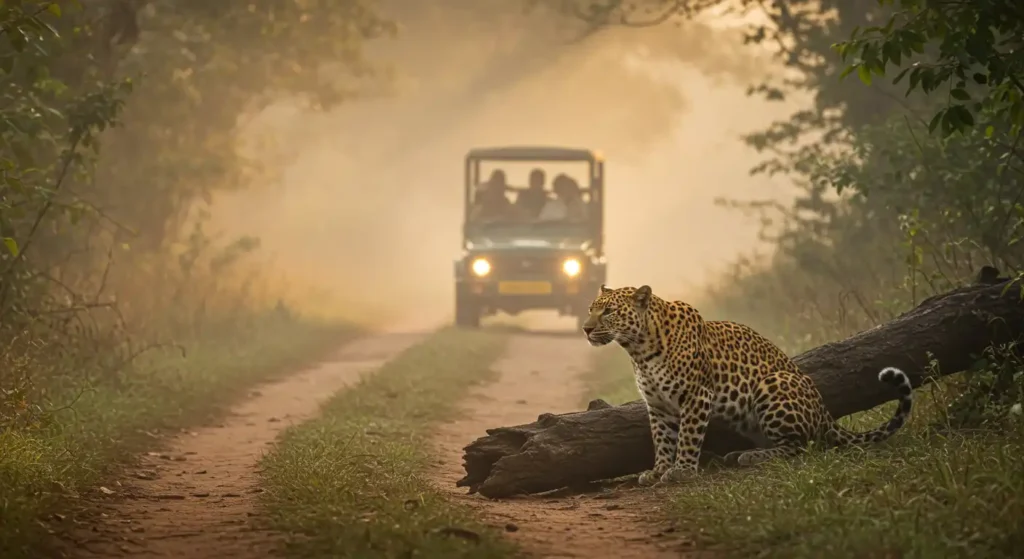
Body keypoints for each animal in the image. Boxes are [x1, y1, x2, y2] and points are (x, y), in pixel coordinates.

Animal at [581, 284, 914, 486]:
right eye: (590, 308)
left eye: (608, 311)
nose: (585, 329)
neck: (639, 350)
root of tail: (825, 413)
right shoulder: (658, 405)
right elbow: (661, 439)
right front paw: (659, 470)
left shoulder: (697, 395)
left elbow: (687, 436)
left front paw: (682, 471)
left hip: (773, 383)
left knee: (802, 446)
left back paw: (751, 456)